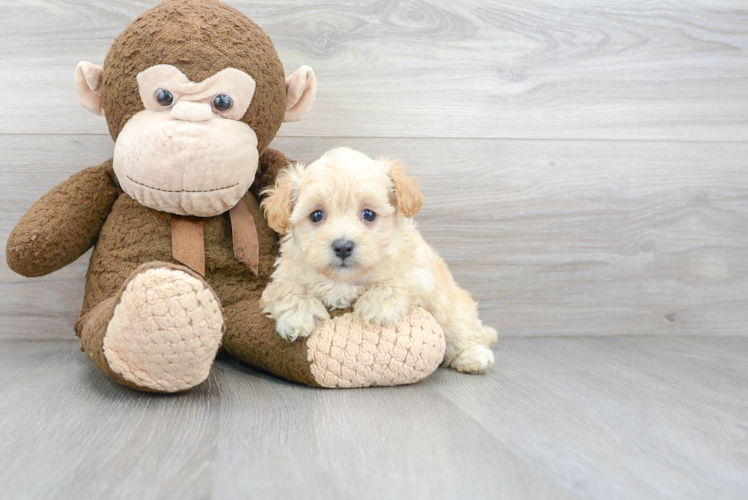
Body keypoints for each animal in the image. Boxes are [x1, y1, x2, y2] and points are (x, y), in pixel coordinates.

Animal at [260, 146, 500, 374]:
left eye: (369, 214)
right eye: (316, 215)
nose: (343, 246)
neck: (345, 280)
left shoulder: (420, 274)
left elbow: (398, 281)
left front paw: (376, 305)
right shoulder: (283, 275)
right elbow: (284, 289)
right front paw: (300, 315)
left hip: (452, 307)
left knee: (461, 330)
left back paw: (472, 356)